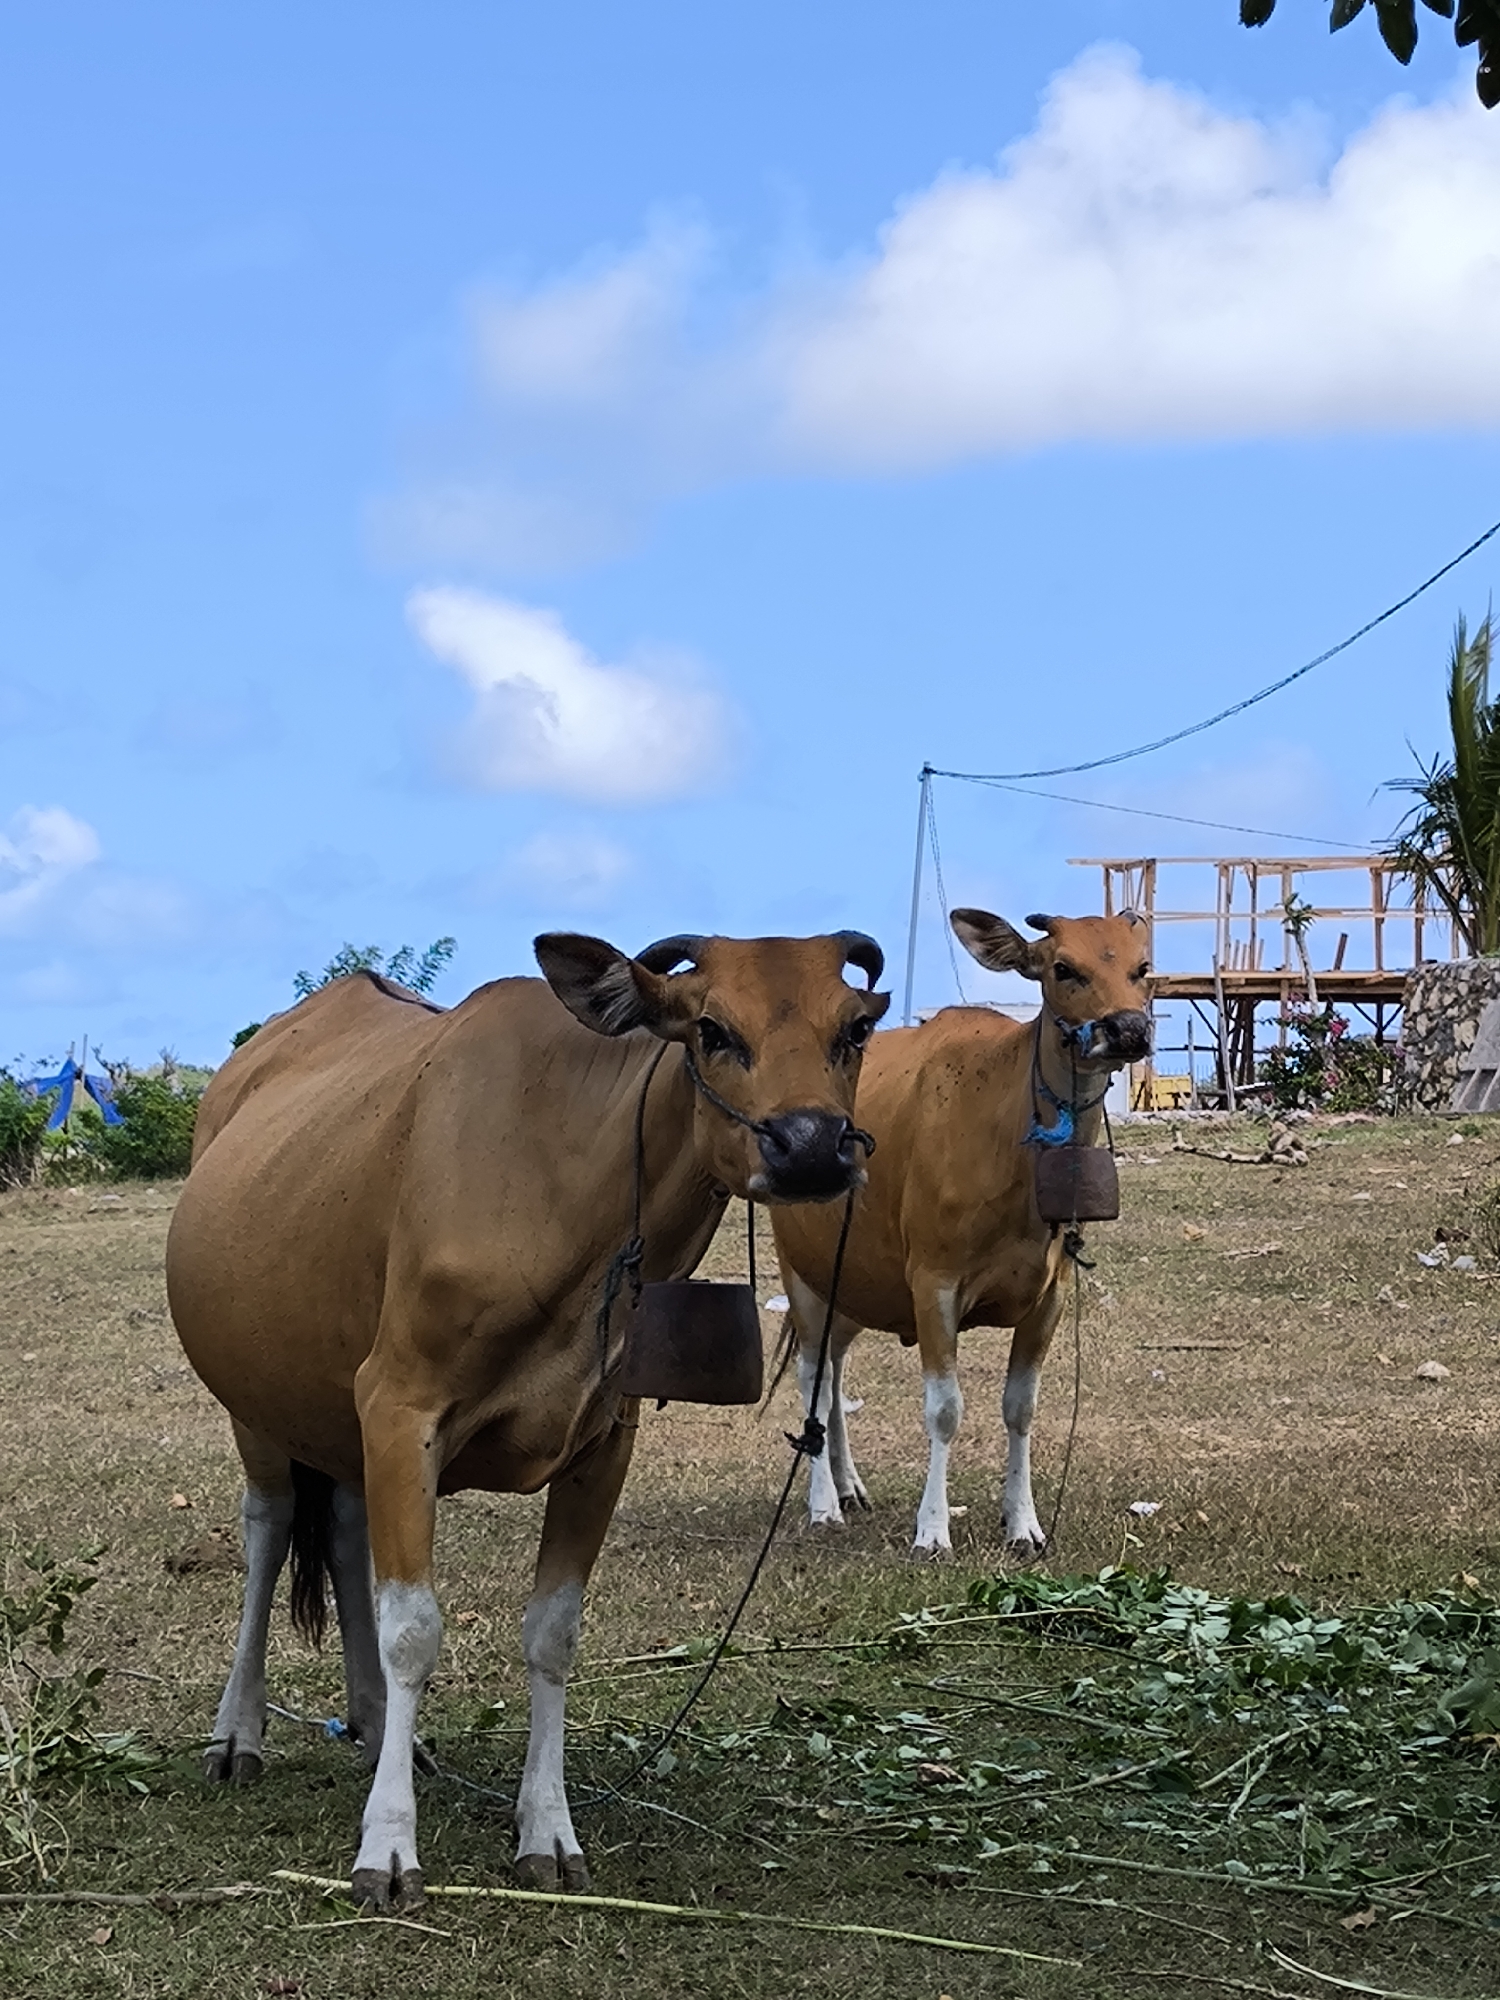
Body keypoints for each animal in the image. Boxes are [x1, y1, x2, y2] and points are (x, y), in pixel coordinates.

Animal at [165, 929, 888, 1908]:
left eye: (855, 1027)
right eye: (710, 1029)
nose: (810, 1147)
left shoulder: (604, 1440)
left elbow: (553, 1632)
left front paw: (545, 1825)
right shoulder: (398, 1404)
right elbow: (412, 1629)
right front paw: (387, 1846)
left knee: (345, 1532)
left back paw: (378, 1728)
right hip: (258, 1406)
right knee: (269, 1532)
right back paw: (239, 1730)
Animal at [770, 908, 1150, 1554]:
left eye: (1141, 968)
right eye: (1063, 968)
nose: (1127, 1029)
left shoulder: (1050, 1295)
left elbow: (1021, 1408)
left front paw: (1023, 1522)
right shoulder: (934, 1283)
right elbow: (944, 1410)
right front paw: (932, 1528)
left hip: (854, 1284)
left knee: (836, 1374)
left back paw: (849, 1484)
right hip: (803, 1276)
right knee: (811, 1377)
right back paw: (824, 1504)